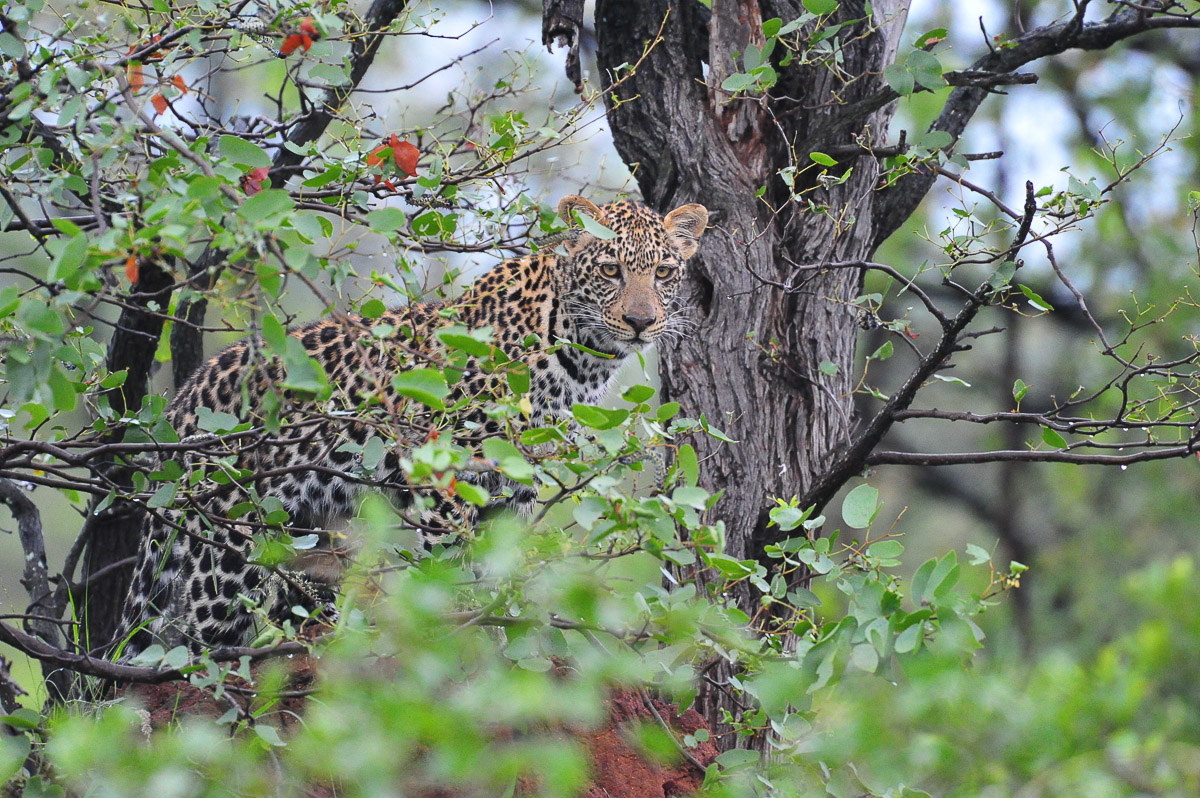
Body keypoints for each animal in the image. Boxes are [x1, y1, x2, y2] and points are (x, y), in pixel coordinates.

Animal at [111, 195, 709, 661]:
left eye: (662, 273)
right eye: (610, 270)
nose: (640, 322)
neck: (581, 357)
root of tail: (184, 399)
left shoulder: (515, 487)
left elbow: (499, 575)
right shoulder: (445, 470)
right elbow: (454, 569)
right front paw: (471, 646)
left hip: (308, 534)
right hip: (224, 547)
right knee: (199, 644)